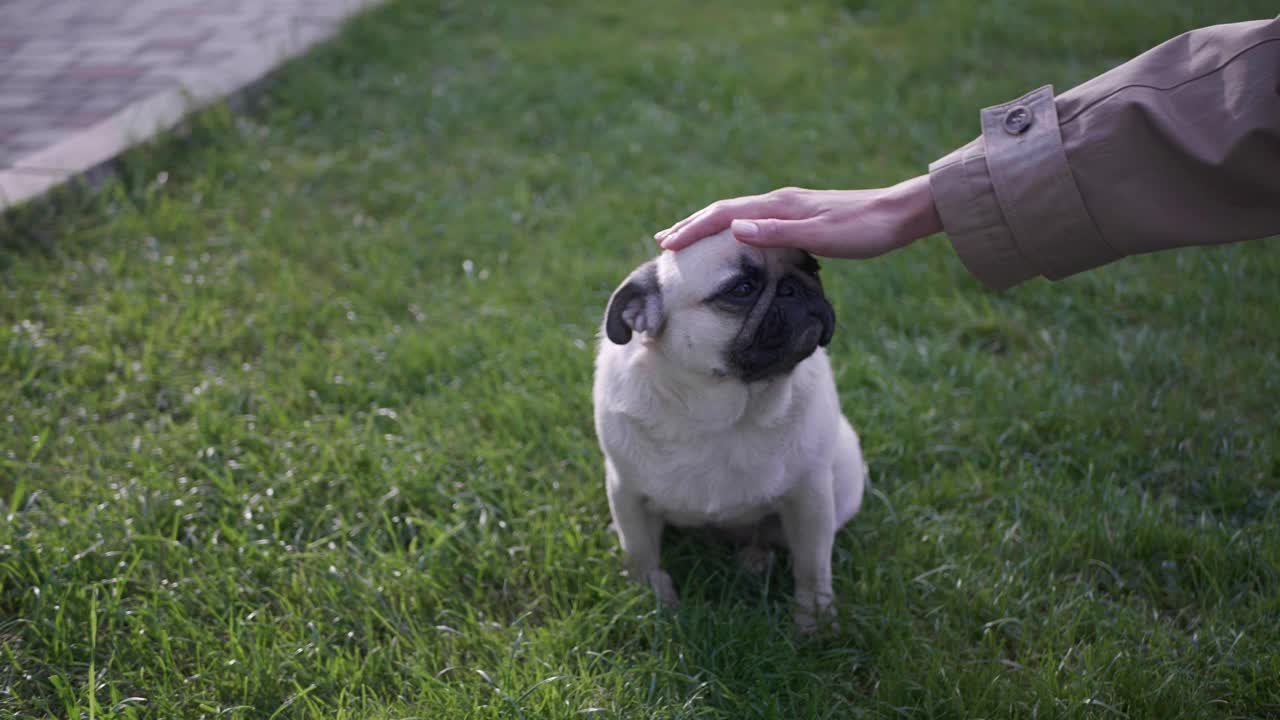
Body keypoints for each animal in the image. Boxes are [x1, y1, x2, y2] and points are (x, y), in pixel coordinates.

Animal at [591, 228, 870, 627]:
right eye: (742, 289)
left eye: (812, 270)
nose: (796, 287)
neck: (723, 410)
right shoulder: (626, 493)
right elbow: (641, 553)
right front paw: (653, 601)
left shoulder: (810, 498)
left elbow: (812, 567)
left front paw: (815, 618)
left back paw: (756, 560)